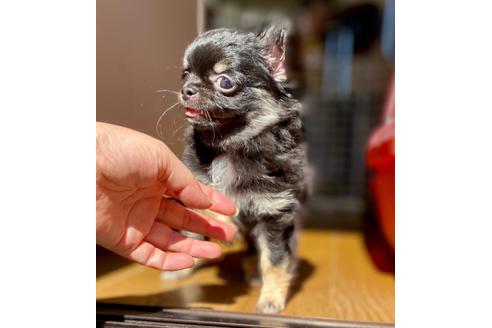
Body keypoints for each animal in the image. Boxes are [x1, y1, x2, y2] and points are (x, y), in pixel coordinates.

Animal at [171, 26, 308, 314]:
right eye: (185, 74)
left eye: (225, 82)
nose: (187, 89)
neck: (230, 146)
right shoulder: (197, 185)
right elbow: (208, 208)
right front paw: (225, 229)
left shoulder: (275, 213)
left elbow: (274, 261)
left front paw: (272, 298)